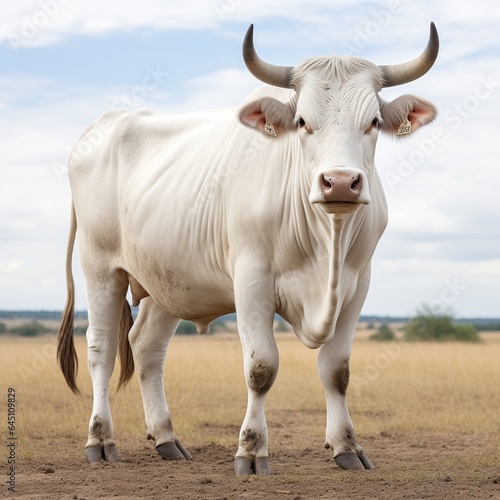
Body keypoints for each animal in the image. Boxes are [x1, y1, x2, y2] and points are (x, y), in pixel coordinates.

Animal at [57, 23, 438, 474]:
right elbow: (261, 367)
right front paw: (251, 450)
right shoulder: (252, 280)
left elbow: (336, 370)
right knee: (101, 350)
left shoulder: (357, 284)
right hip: (100, 268)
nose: (341, 183)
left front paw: (346, 446)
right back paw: (100, 440)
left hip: (168, 280)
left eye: (374, 121)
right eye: (302, 121)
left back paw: (166, 438)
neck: (326, 244)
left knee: (147, 348)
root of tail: (106, 123)